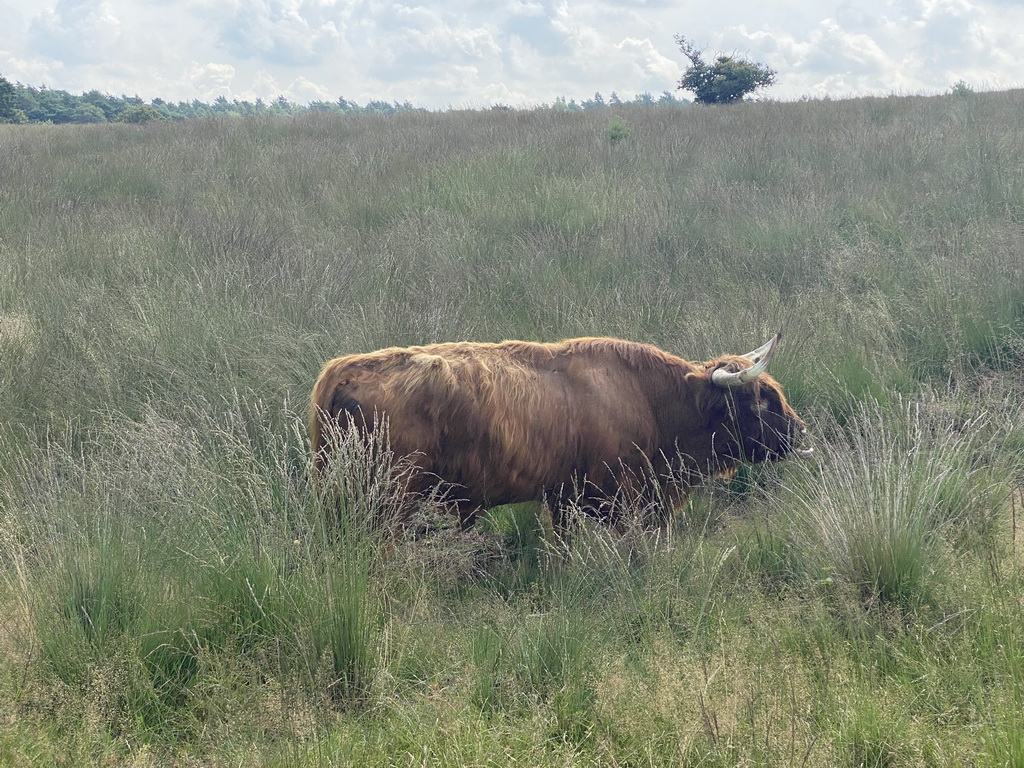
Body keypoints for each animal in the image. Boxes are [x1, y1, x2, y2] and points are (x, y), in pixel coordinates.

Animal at [307, 333, 811, 532]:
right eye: (761, 401)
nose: (800, 431)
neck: (647, 399)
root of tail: (341, 371)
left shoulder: (562, 496)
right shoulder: (617, 497)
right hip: (391, 498)